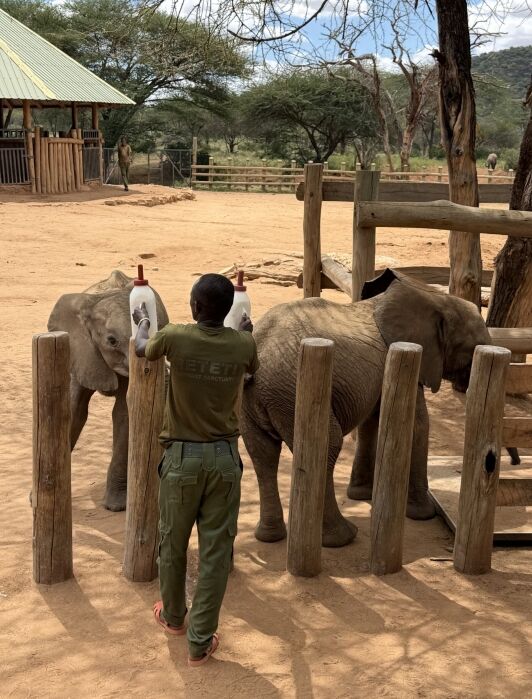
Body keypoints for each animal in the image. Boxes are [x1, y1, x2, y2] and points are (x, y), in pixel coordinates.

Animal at [240, 269, 492, 548]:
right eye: (475, 346)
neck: (435, 298)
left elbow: (372, 420)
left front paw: (361, 494)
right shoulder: (411, 356)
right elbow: (417, 425)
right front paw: (424, 514)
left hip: (256, 401)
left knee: (262, 453)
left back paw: (270, 537)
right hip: (291, 392)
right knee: (327, 445)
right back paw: (342, 538)